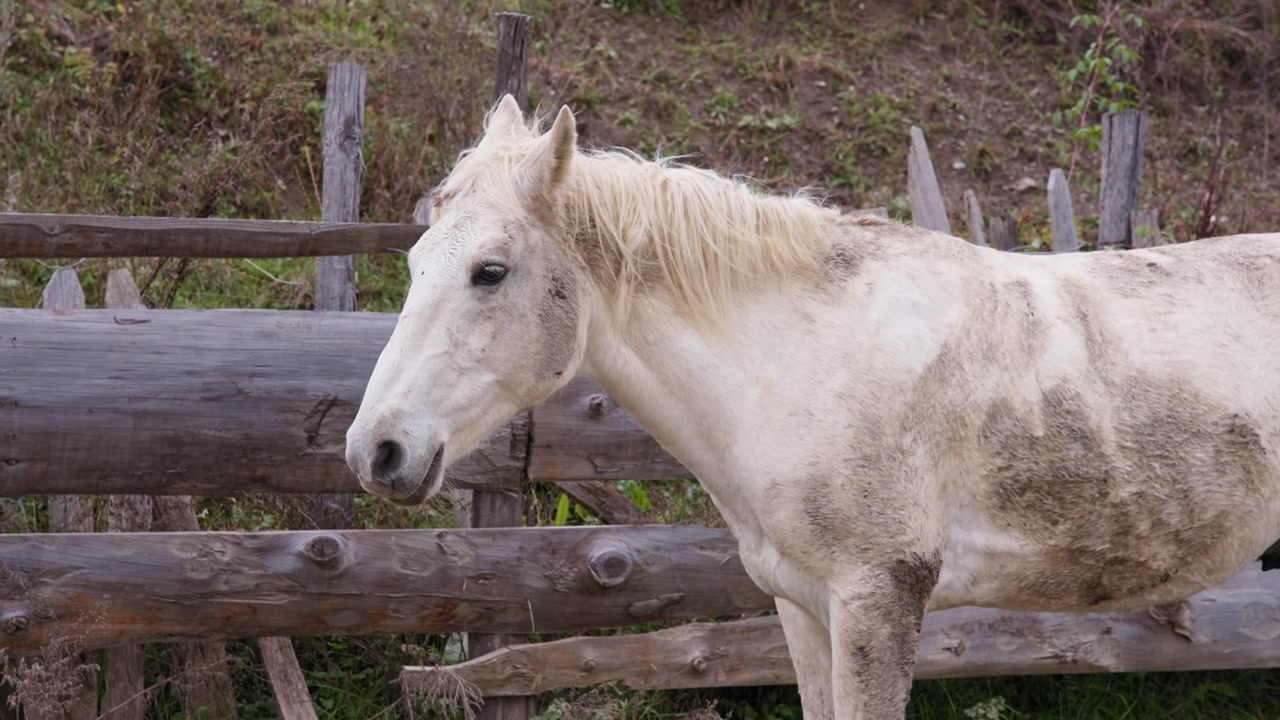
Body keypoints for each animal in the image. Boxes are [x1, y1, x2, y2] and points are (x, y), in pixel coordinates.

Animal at [345, 95, 1280, 719]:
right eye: (417, 261)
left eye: (490, 272)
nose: (375, 451)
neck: (803, 368)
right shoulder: (801, 608)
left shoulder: (878, 602)